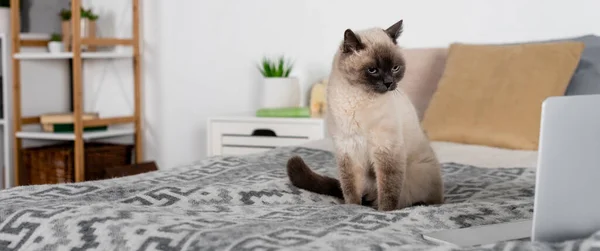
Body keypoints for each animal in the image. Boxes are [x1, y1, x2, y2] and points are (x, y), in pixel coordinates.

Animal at [286, 20, 446, 212]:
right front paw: (352, 208)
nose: (389, 83)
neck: (357, 100)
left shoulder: (386, 150)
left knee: (416, 199)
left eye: (395, 68)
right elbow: (350, 189)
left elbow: (388, 191)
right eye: (372, 70)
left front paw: (384, 212)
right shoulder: (348, 150)